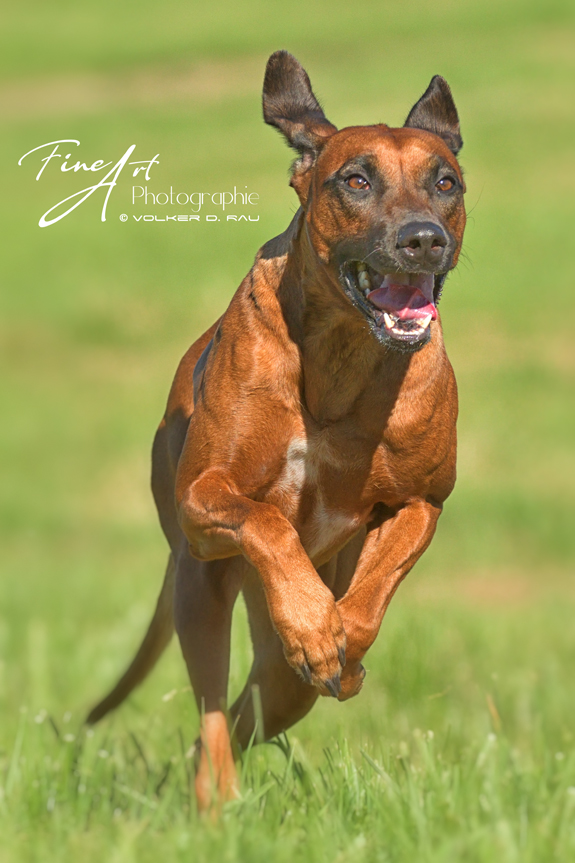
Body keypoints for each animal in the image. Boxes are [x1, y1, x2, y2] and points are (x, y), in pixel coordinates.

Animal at [89, 52, 468, 808]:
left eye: (445, 182)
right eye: (355, 180)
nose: (422, 239)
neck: (343, 357)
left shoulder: (422, 502)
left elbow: (374, 588)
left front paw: (339, 640)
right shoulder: (205, 498)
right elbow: (264, 519)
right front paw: (315, 626)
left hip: (279, 672)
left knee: (257, 703)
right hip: (198, 582)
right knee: (212, 711)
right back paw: (213, 803)